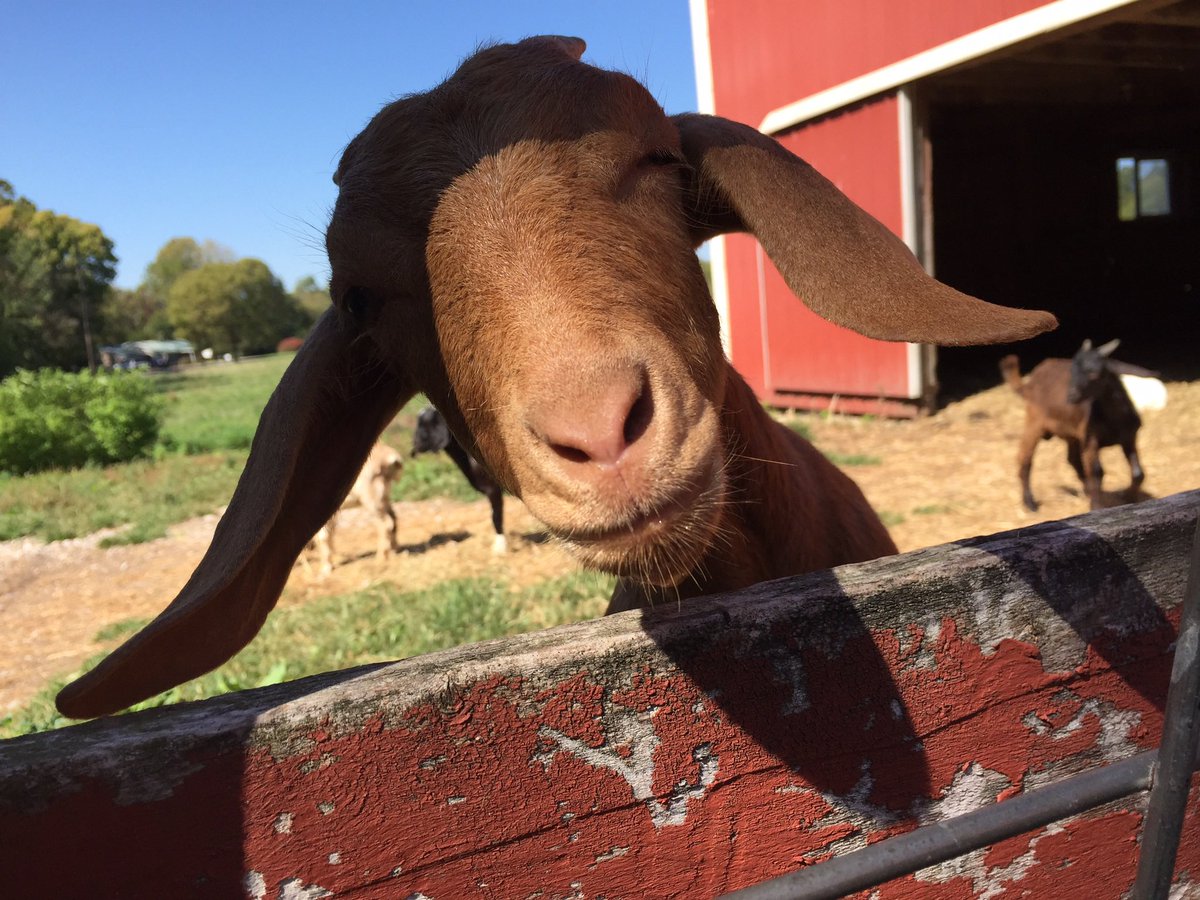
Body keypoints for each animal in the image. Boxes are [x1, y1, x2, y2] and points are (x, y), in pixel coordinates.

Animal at [308, 441, 405, 575]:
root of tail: (392, 458)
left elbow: (323, 537)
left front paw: (326, 569)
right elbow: (330, 533)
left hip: (371, 498)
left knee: (386, 523)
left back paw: (381, 557)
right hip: (384, 497)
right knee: (393, 516)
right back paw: (395, 549)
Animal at [412, 406, 507, 554]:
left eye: (430, 424)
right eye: (419, 424)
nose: (416, 444)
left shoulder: (493, 488)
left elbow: (496, 516)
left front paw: (499, 548)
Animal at [1000, 339, 1154, 512]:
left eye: (1094, 373)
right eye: (1072, 372)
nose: (1071, 396)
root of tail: (1030, 383)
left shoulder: (1128, 438)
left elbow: (1138, 473)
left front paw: (1130, 498)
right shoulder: (1091, 440)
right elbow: (1097, 472)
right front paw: (1096, 506)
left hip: (1070, 432)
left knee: (1072, 458)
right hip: (1034, 422)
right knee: (1025, 458)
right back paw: (1029, 503)